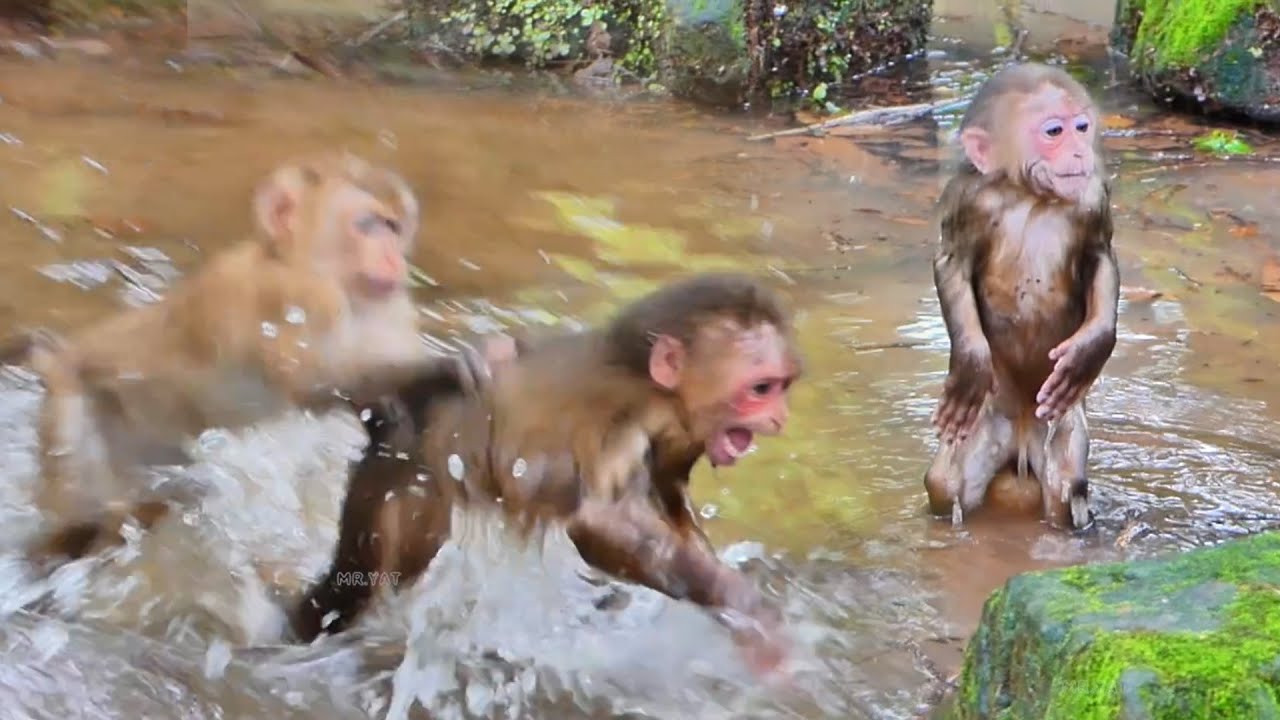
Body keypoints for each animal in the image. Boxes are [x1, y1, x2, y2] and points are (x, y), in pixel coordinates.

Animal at [3, 152, 500, 565]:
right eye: (366, 225)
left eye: (393, 227)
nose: (394, 259)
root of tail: (60, 356)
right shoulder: (292, 297)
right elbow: (312, 379)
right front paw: (439, 367)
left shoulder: (388, 308)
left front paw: (393, 407)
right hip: (75, 402)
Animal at [293, 273, 803, 677]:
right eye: (761, 389)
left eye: (782, 388)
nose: (780, 418)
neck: (653, 387)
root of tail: (395, 416)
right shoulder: (623, 423)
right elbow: (597, 525)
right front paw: (748, 608)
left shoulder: (681, 438)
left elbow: (666, 494)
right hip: (402, 476)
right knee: (356, 584)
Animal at [924, 62, 1119, 531]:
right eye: (1054, 131)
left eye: (1082, 127)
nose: (1080, 152)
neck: (1031, 197)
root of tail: (1023, 436)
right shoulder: (968, 199)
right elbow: (952, 263)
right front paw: (971, 364)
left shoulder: (1092, 195)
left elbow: (1100, 257)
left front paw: (1090, 350)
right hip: (987, 424)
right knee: (945, 484)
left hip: (1058, 425)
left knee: (1066, 486)